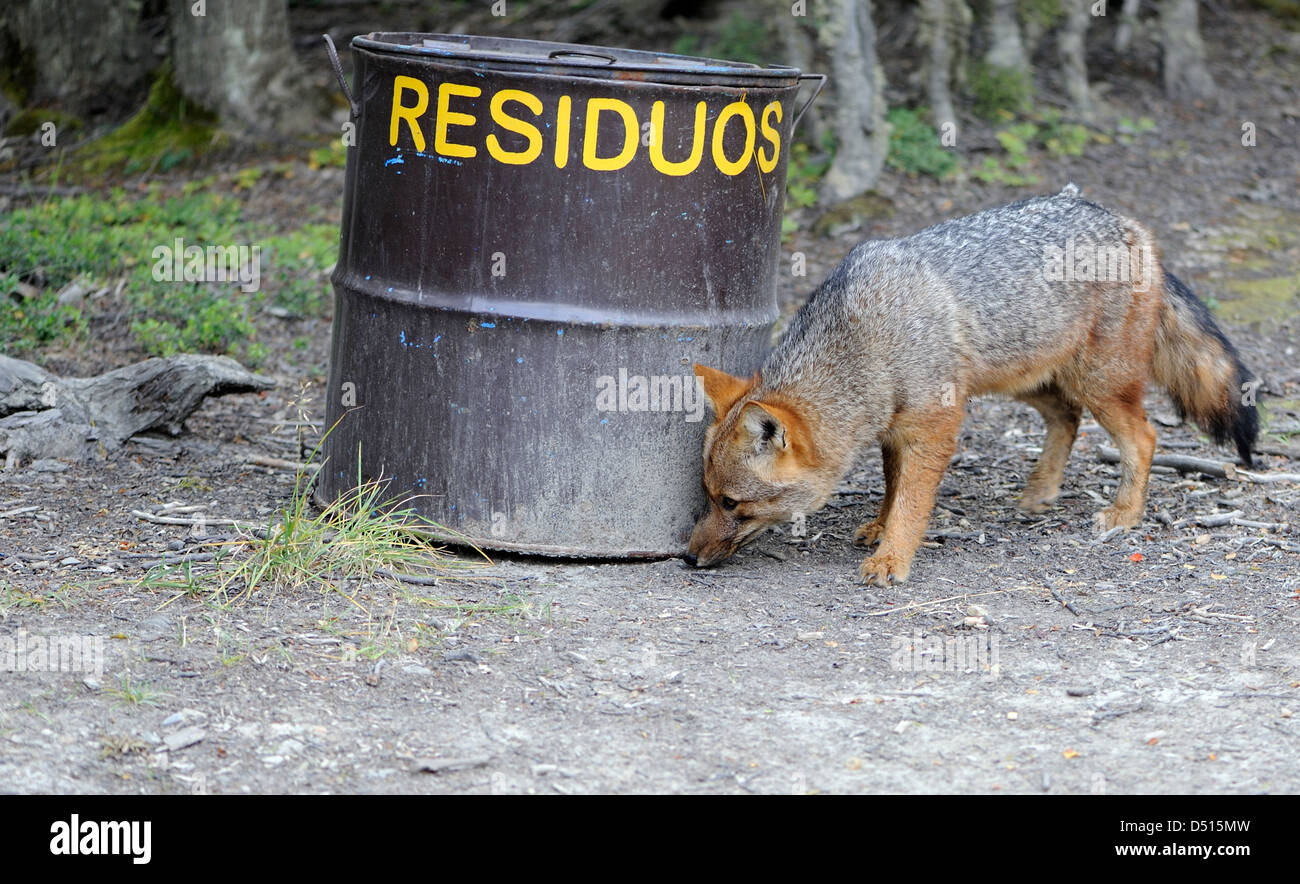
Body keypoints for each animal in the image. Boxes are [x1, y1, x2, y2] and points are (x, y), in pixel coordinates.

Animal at [686, 185, 1258, 586]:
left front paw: (892, 557)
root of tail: (1127, 222)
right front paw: (880, 527)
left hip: (1100, 383)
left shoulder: (936, 424)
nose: (688, 556)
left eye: (731, 504)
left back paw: (1125, 513)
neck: (867, 338)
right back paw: (1041, 491)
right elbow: (894, 486)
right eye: (708, 497)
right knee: (1066, 417)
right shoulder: (897, 427)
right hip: (1028, 380)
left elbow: (913, 501)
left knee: (1143, 436)